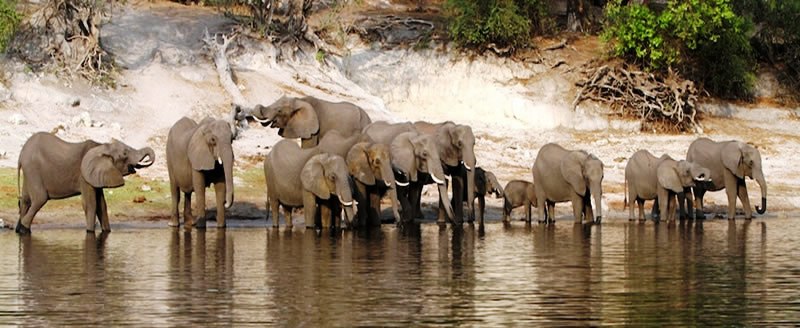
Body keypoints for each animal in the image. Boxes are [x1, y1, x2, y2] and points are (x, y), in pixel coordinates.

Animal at [15, 131, 155, 233]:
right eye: (125, 154)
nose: (146, 159)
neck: (101, 146)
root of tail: (21, 154)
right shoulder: (84, 175)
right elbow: (91, 204)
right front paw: (90, 232)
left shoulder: (96, 176)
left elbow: (102, 205)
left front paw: (107, 232)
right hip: (33, 170)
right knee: (40, 199)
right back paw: (23, 229)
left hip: (29, 173)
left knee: (26, 200)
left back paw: (18, 230)